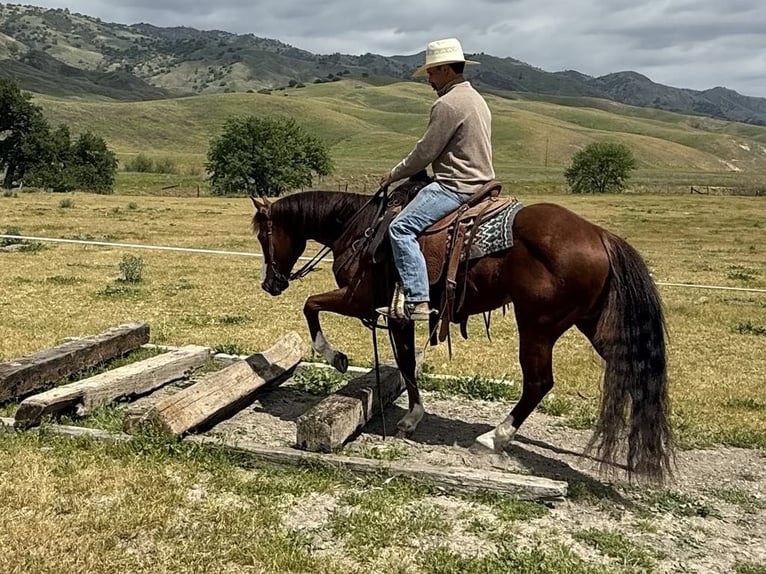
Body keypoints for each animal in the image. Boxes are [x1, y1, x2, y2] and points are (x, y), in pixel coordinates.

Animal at [250, 176, 673, 482]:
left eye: (262, 235)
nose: (270, 284)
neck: (362, 229)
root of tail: (601, 234)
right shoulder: (398, 317)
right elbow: (406, 363)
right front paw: (413, 416)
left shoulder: (359, 300)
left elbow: (311, 306)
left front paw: (336, 358)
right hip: (593, 323)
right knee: (632, 371)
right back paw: (638, 453)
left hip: (537, 325)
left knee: (539, 382)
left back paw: (493, 438)